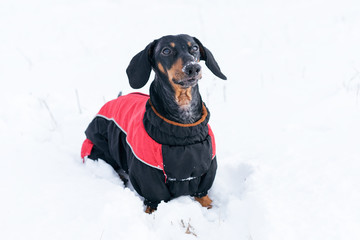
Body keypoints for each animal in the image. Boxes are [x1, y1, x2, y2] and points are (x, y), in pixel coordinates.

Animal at [82, 33, 228, 212]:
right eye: (166, 51)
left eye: (194, 48)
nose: (193, 68)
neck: (184, 128)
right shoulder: (148, 178)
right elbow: (153, 201)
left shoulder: (205, 170)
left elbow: (205, 197)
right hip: (98, 149)